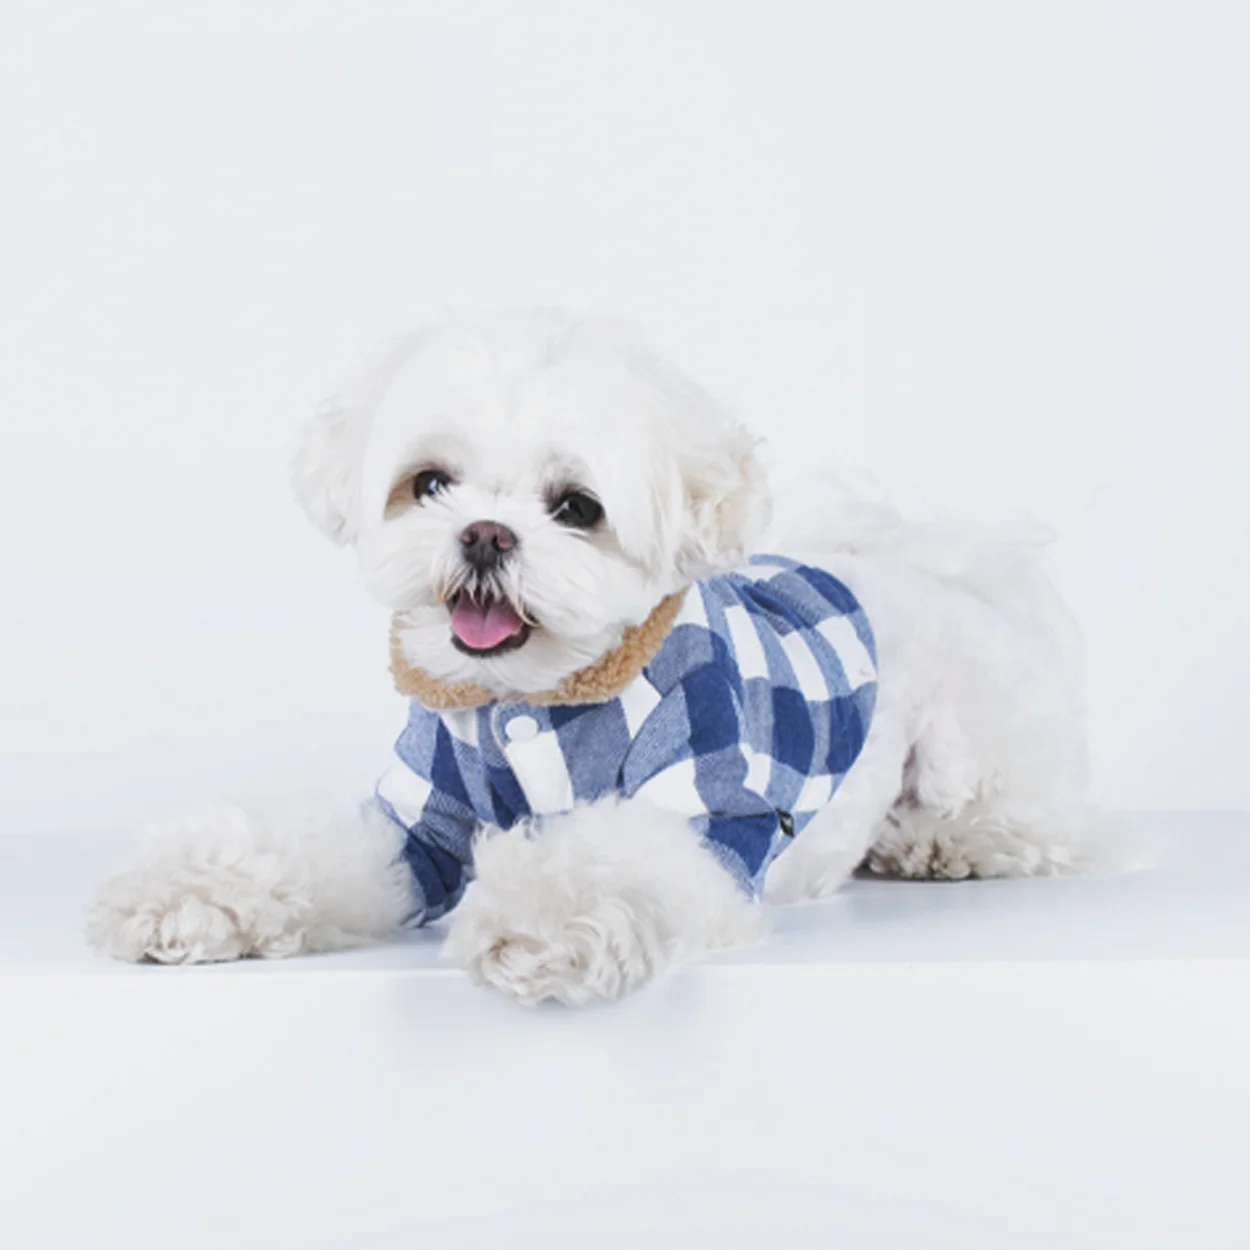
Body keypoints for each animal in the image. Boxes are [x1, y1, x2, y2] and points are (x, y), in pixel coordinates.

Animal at [88, 310, 1093, 1003]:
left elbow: (607, 859)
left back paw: (938, 844)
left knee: (1020, 819)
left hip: (979, 749)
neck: (523, 700)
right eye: (430, 484)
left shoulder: (702, 807)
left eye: (576, 507)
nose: (485, 535)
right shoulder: (415, 818)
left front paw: (538, 923)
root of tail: (922, 559)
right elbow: (312, 847)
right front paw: (190, 894)